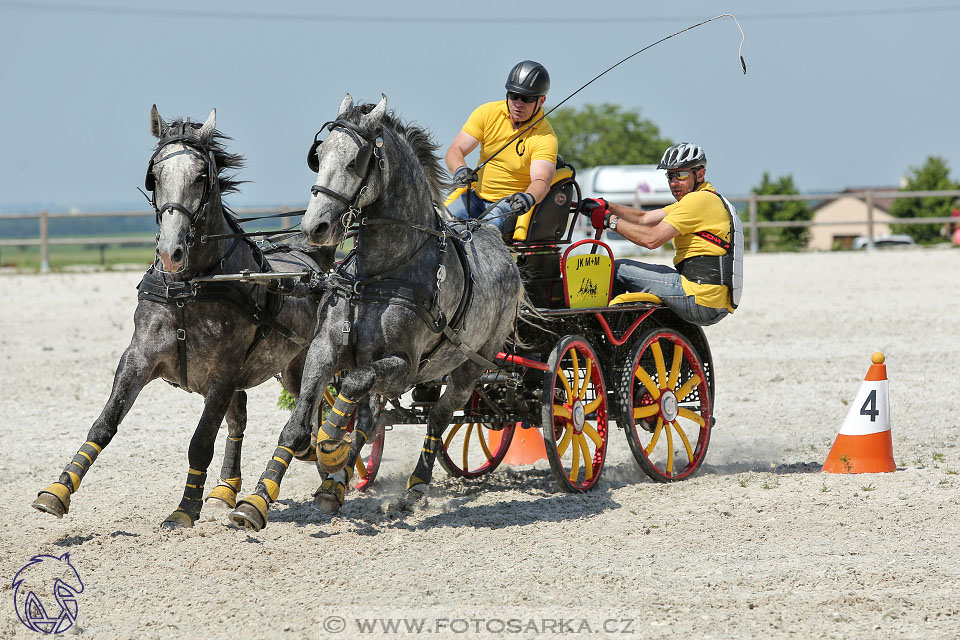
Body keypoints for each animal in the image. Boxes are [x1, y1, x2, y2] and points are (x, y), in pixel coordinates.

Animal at [32, 106, 330, 528]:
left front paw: (186, 508)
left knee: (317, 405)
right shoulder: (138, 358)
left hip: (295, 366)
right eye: (154, 175)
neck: (189, 290)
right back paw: (225, 490)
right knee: (239, 420)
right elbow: (105, 423)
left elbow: (200, 442)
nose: (170, 251)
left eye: (202, 175)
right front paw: (57, 491)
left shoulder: (223, 374)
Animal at [227, 92, 524, 528]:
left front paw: (331, 445)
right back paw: (334, 487)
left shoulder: (403, 365)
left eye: (355, 161)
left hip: (472, 364)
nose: (314, 228)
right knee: (373, 418)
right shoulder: (324, 349)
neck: (378, 275)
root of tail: (497, 241)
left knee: (438, 417)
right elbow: (297, 427)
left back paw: (413, 487)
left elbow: (350, 392)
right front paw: (256, 501)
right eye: (319, 156)